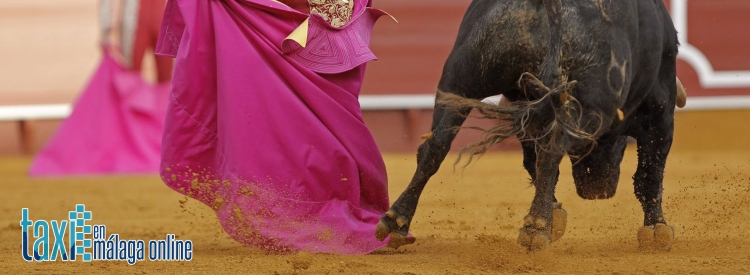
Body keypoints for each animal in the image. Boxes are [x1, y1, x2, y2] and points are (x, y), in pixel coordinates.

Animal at [376, 0, 688, 251]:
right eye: (623, 146)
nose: (597, 191)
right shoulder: (661, 112)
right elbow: (649, 174)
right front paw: (657, 230)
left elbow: (531, 161)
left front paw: (554, 212)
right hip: (580, 104)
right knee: (551, 152)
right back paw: (535, 229)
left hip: (459, 80)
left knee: (434, 147)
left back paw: (396, 222)